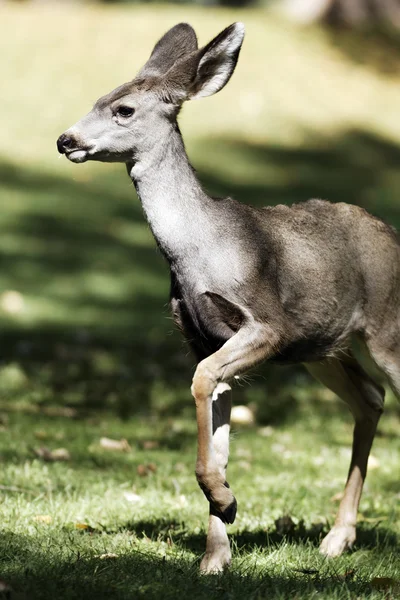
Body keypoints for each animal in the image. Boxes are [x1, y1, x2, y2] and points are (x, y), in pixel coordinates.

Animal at [57, 23, 400, 576]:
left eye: (123, 109)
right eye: (97, 98)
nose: (65, 139)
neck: (199, 251)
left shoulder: (268, 324)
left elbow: (201, 384)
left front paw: (226, 505)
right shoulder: (204, 341)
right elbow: (215, 436)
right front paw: (215, 551)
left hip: (386, 329)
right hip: (324, 348)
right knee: (369, 398)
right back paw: (337, 538)